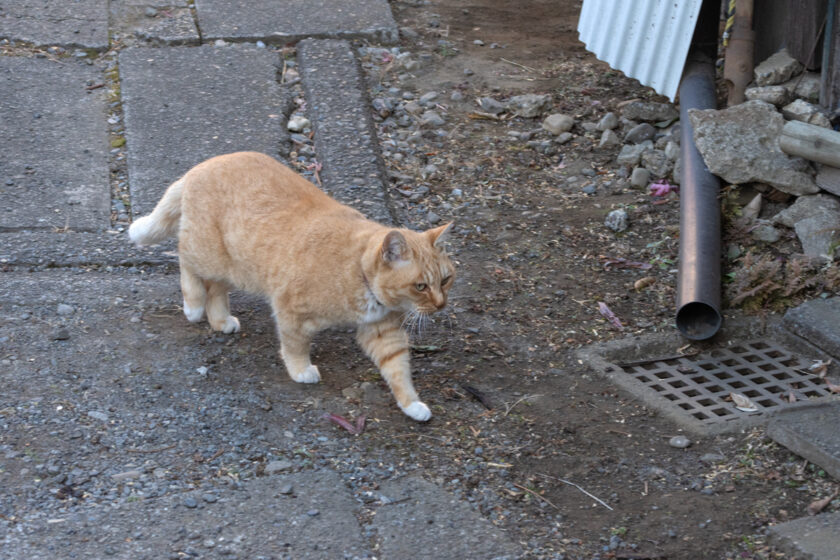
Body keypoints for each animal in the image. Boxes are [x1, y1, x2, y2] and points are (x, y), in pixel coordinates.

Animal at [128, 151, 452, 422]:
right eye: (421, 286)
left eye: (445, 280)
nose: (441, 304)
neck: (355, 269)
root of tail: (202, 165)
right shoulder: (291, 311)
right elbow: (295, 345)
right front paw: (300, 371)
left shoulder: (383, 332)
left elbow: (398, 369)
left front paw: (411, 404)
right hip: (207, 254)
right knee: (184, 259)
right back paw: (193, 305)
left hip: (233, 267)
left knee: (217, 289)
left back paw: (220, 320)